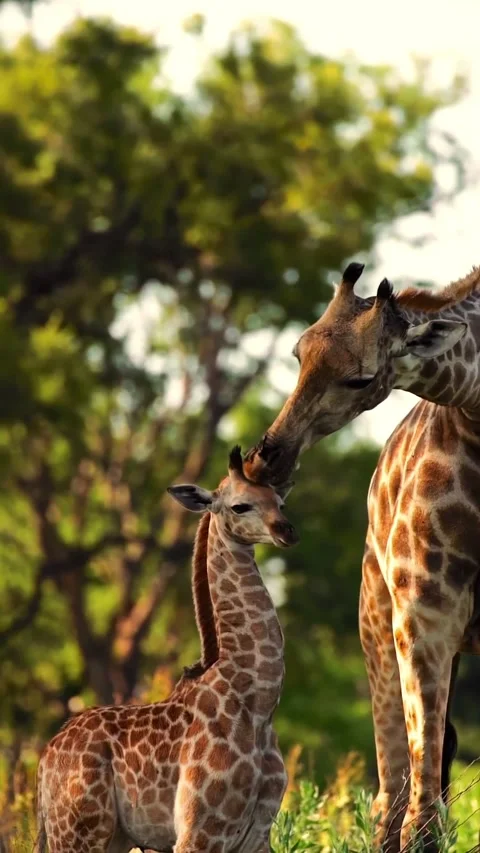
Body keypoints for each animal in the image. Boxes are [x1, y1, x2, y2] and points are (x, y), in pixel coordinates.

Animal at [35, 446, 298, 853]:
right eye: (240, 506)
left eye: (280, 502)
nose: (286, 530)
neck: (257, 704)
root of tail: (44, 762)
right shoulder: (199, 831)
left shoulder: (257, 834)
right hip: (78, 831)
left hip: (113, 836)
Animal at [244, 262, 480, 851]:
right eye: (298, 353)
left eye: (359, 378)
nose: (264, 462)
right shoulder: (426, 611)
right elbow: (420, 815)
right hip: (377, 625)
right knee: (392, 798)